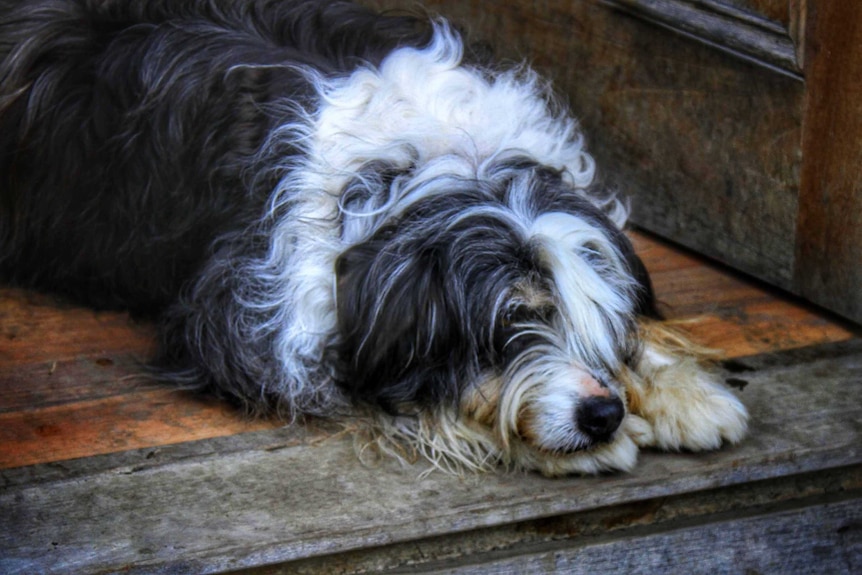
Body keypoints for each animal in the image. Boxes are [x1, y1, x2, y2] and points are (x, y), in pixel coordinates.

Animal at [0, 1, 748, 476]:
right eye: (513, 318)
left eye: (599, 316)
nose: (602, 414)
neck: (428, 165)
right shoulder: (245, 328)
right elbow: (400, 394)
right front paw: (569, 443)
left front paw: (684, 391)